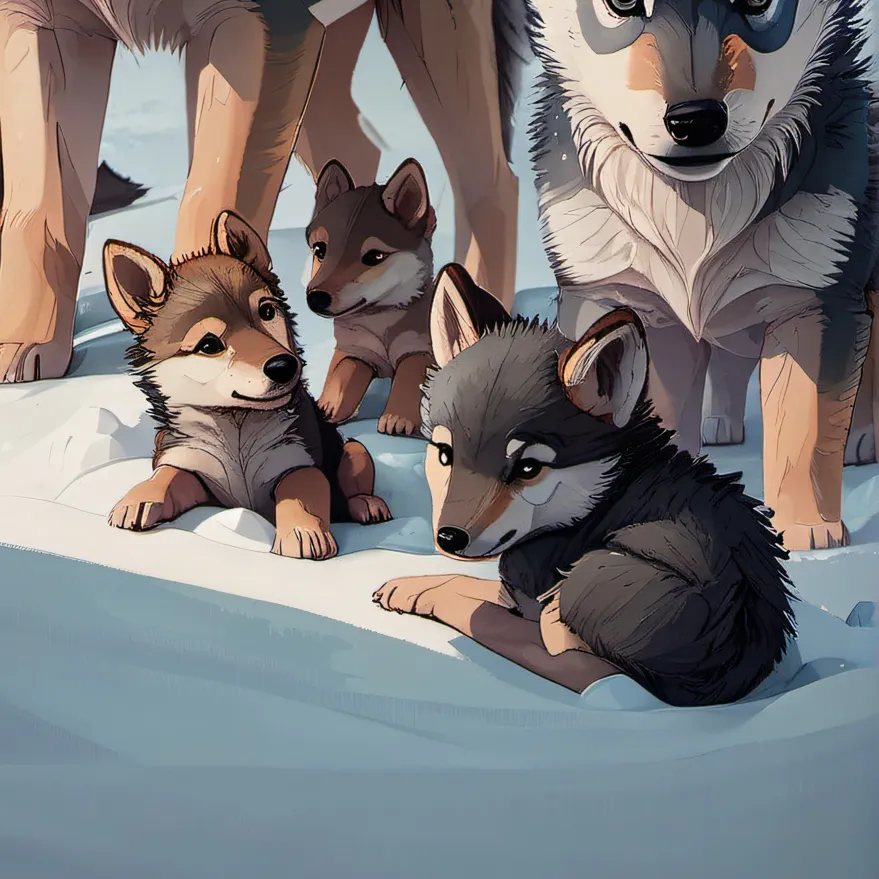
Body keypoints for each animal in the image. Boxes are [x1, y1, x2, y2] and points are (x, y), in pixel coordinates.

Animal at [104, 210, 392, 561]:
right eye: (209, 344)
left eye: (267, 312)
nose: (284, 366)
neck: (237, 426)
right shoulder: (194, 471)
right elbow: (167, 476)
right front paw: (138, 497)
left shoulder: (299, 463)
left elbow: (301, 492)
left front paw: (302, 532)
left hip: (354, 451)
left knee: (353, 480)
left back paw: (366, 504)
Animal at [305, 157, 436, 436]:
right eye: (320, 250)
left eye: (374, 256)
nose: (316, 298)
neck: (380, 323)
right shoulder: (355, 351)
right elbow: (345, 372)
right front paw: (327, 407)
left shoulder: (420, 350)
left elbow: (409, 375)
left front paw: (398, 418)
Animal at [374, 263, 796, 706]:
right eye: (444, 454)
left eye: (528, 468)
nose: (449, 538)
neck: (601, 499)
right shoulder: (516, 590)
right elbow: (462, 581)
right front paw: (407, 586)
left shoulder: (532, 595)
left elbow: (468, 596)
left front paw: (423, 593)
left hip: (585, 580)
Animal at [526, 0, 878, 551]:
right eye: (623, 5)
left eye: (757, 2)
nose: (695, 121)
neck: (693, 212)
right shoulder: (627, 304)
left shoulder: (814, 303)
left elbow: (803, 432)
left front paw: (807, 531)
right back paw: (722, 423)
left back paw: (862, 440)